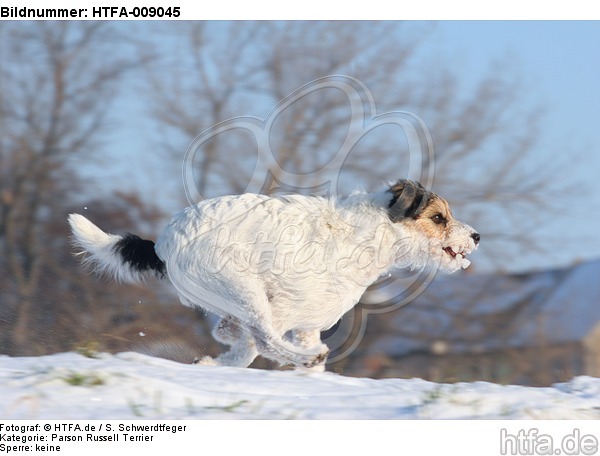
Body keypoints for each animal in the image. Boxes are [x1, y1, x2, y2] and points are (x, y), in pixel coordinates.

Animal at [69, 178, 478, 370]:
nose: (476, 236)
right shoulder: (285, 309)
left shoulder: (308, 321)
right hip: (243, 290)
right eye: (438, 218)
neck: (372, 234)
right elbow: (256, 342)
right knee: (263, 340)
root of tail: (163, 244)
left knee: (239, 335)